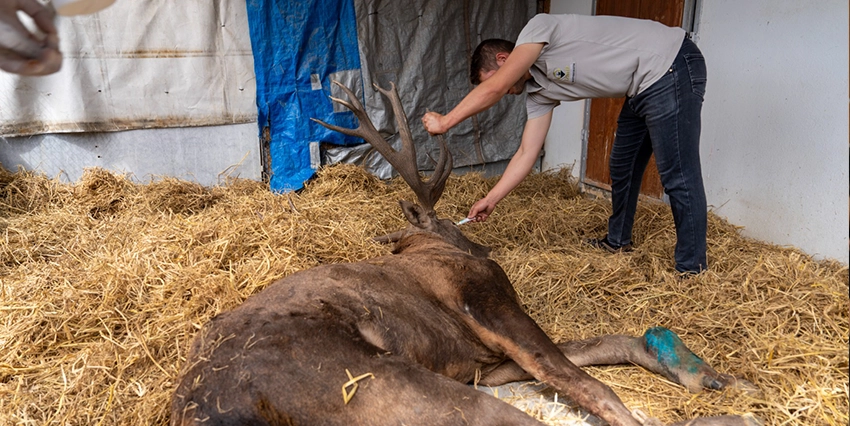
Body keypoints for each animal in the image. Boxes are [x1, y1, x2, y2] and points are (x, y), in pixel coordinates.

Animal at [171, 81, 756, 424]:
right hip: (390, 387)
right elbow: (586, 382)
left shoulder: (484, 360)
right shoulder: (488, 304)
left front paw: (712, 375)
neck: (423, 244)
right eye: (454, 227)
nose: (481, 240)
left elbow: (597, 347)